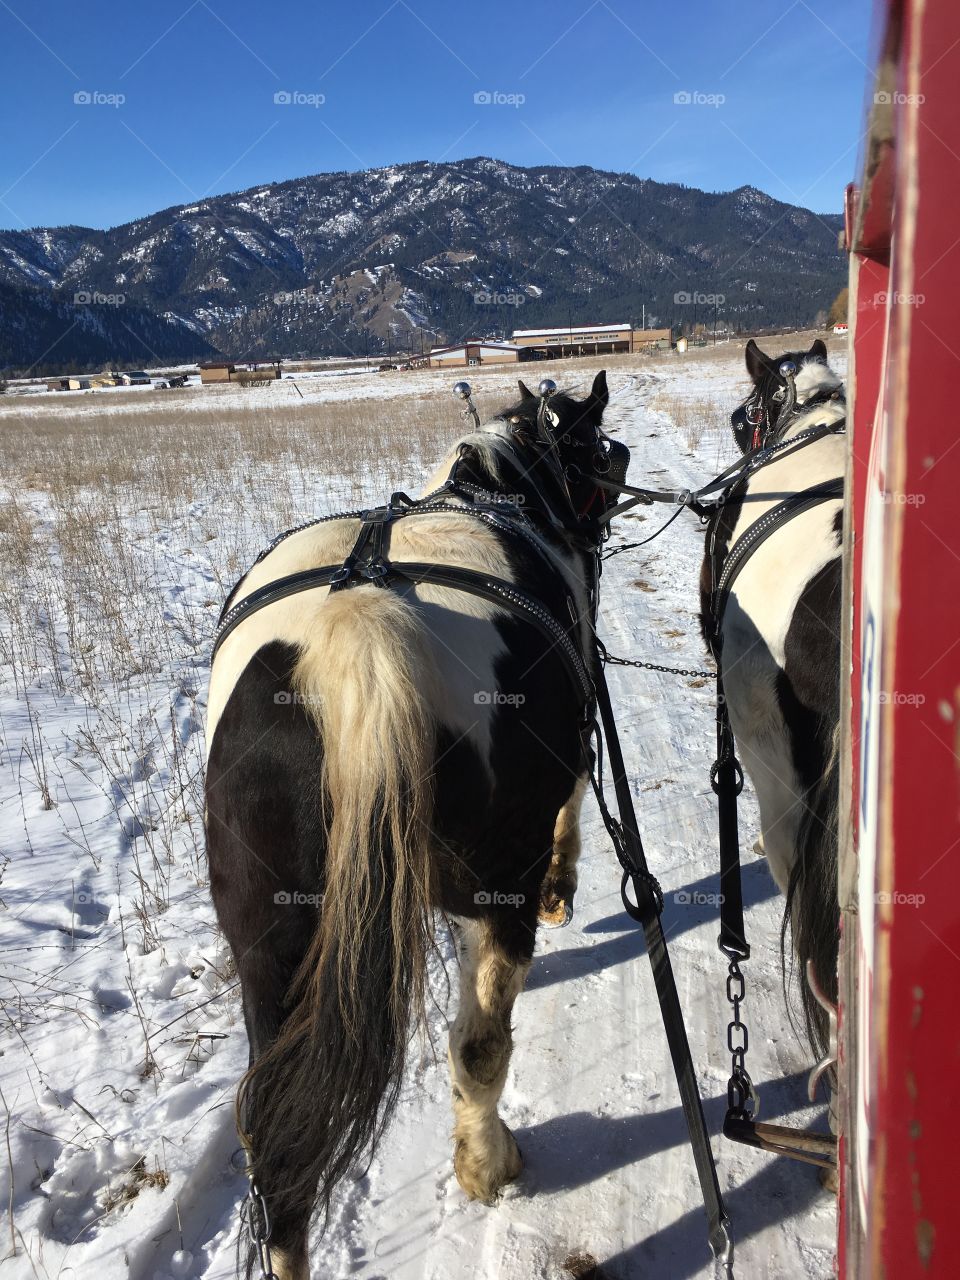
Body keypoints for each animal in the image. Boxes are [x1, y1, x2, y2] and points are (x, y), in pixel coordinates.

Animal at [205, 372, 623, 1278]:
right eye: (590, 444)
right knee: (479, 1045)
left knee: (272, 1126)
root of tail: (357, 634)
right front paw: (562, 889)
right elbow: (573, 808)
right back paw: (488, 1162)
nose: (616, 477)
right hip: (490, 888)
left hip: (271, 941)